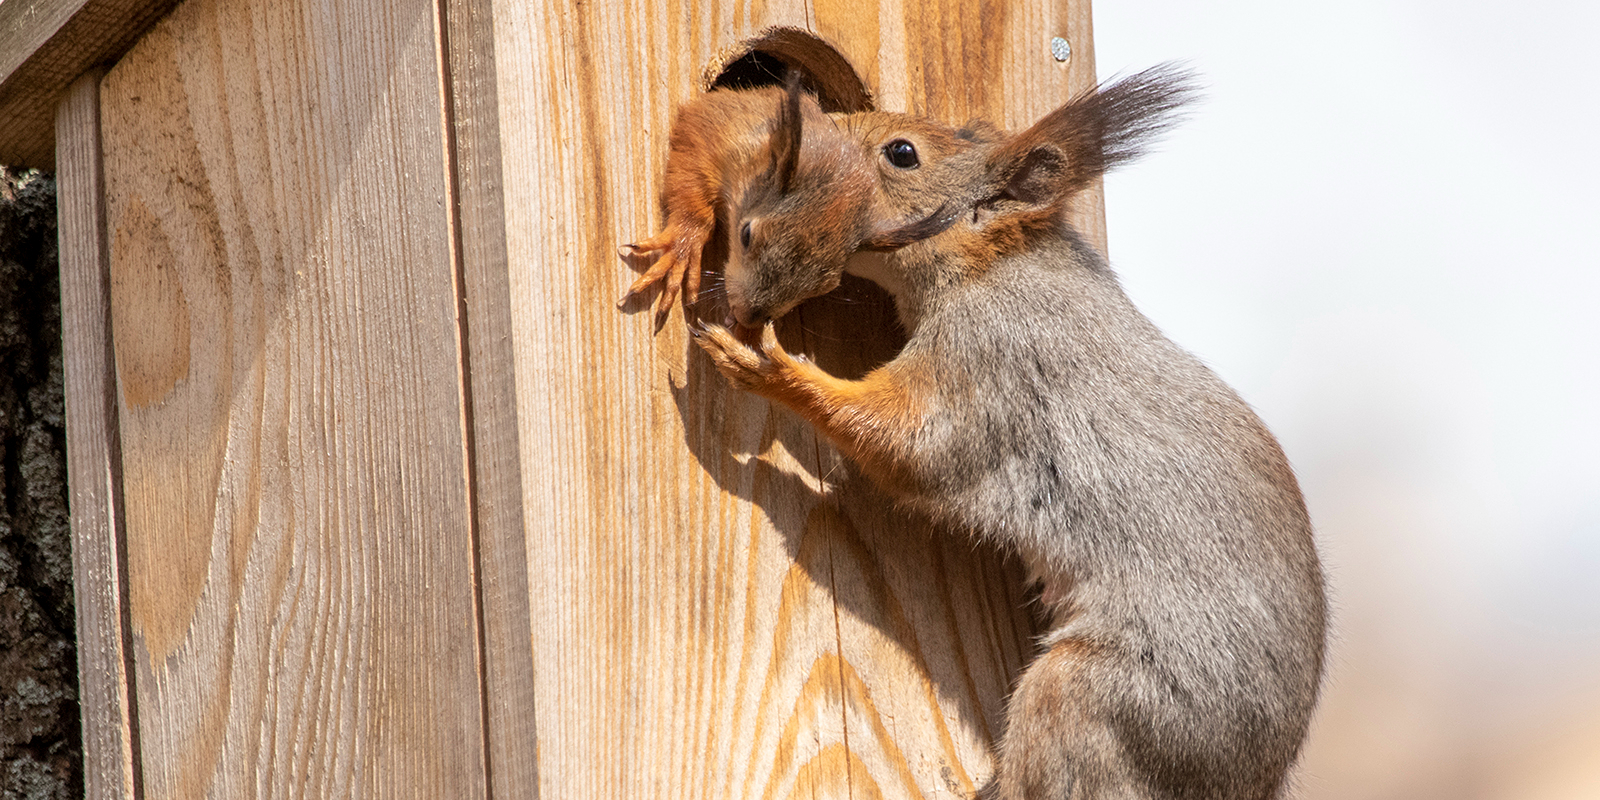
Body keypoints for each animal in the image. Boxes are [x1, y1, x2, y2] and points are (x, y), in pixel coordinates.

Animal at [624, 67, 1324, 800]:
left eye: (902, 154)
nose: (808, 119)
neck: (994, 263)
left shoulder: (991, 366)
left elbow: (912, 445)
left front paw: (772, 369)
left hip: (1094, 698)